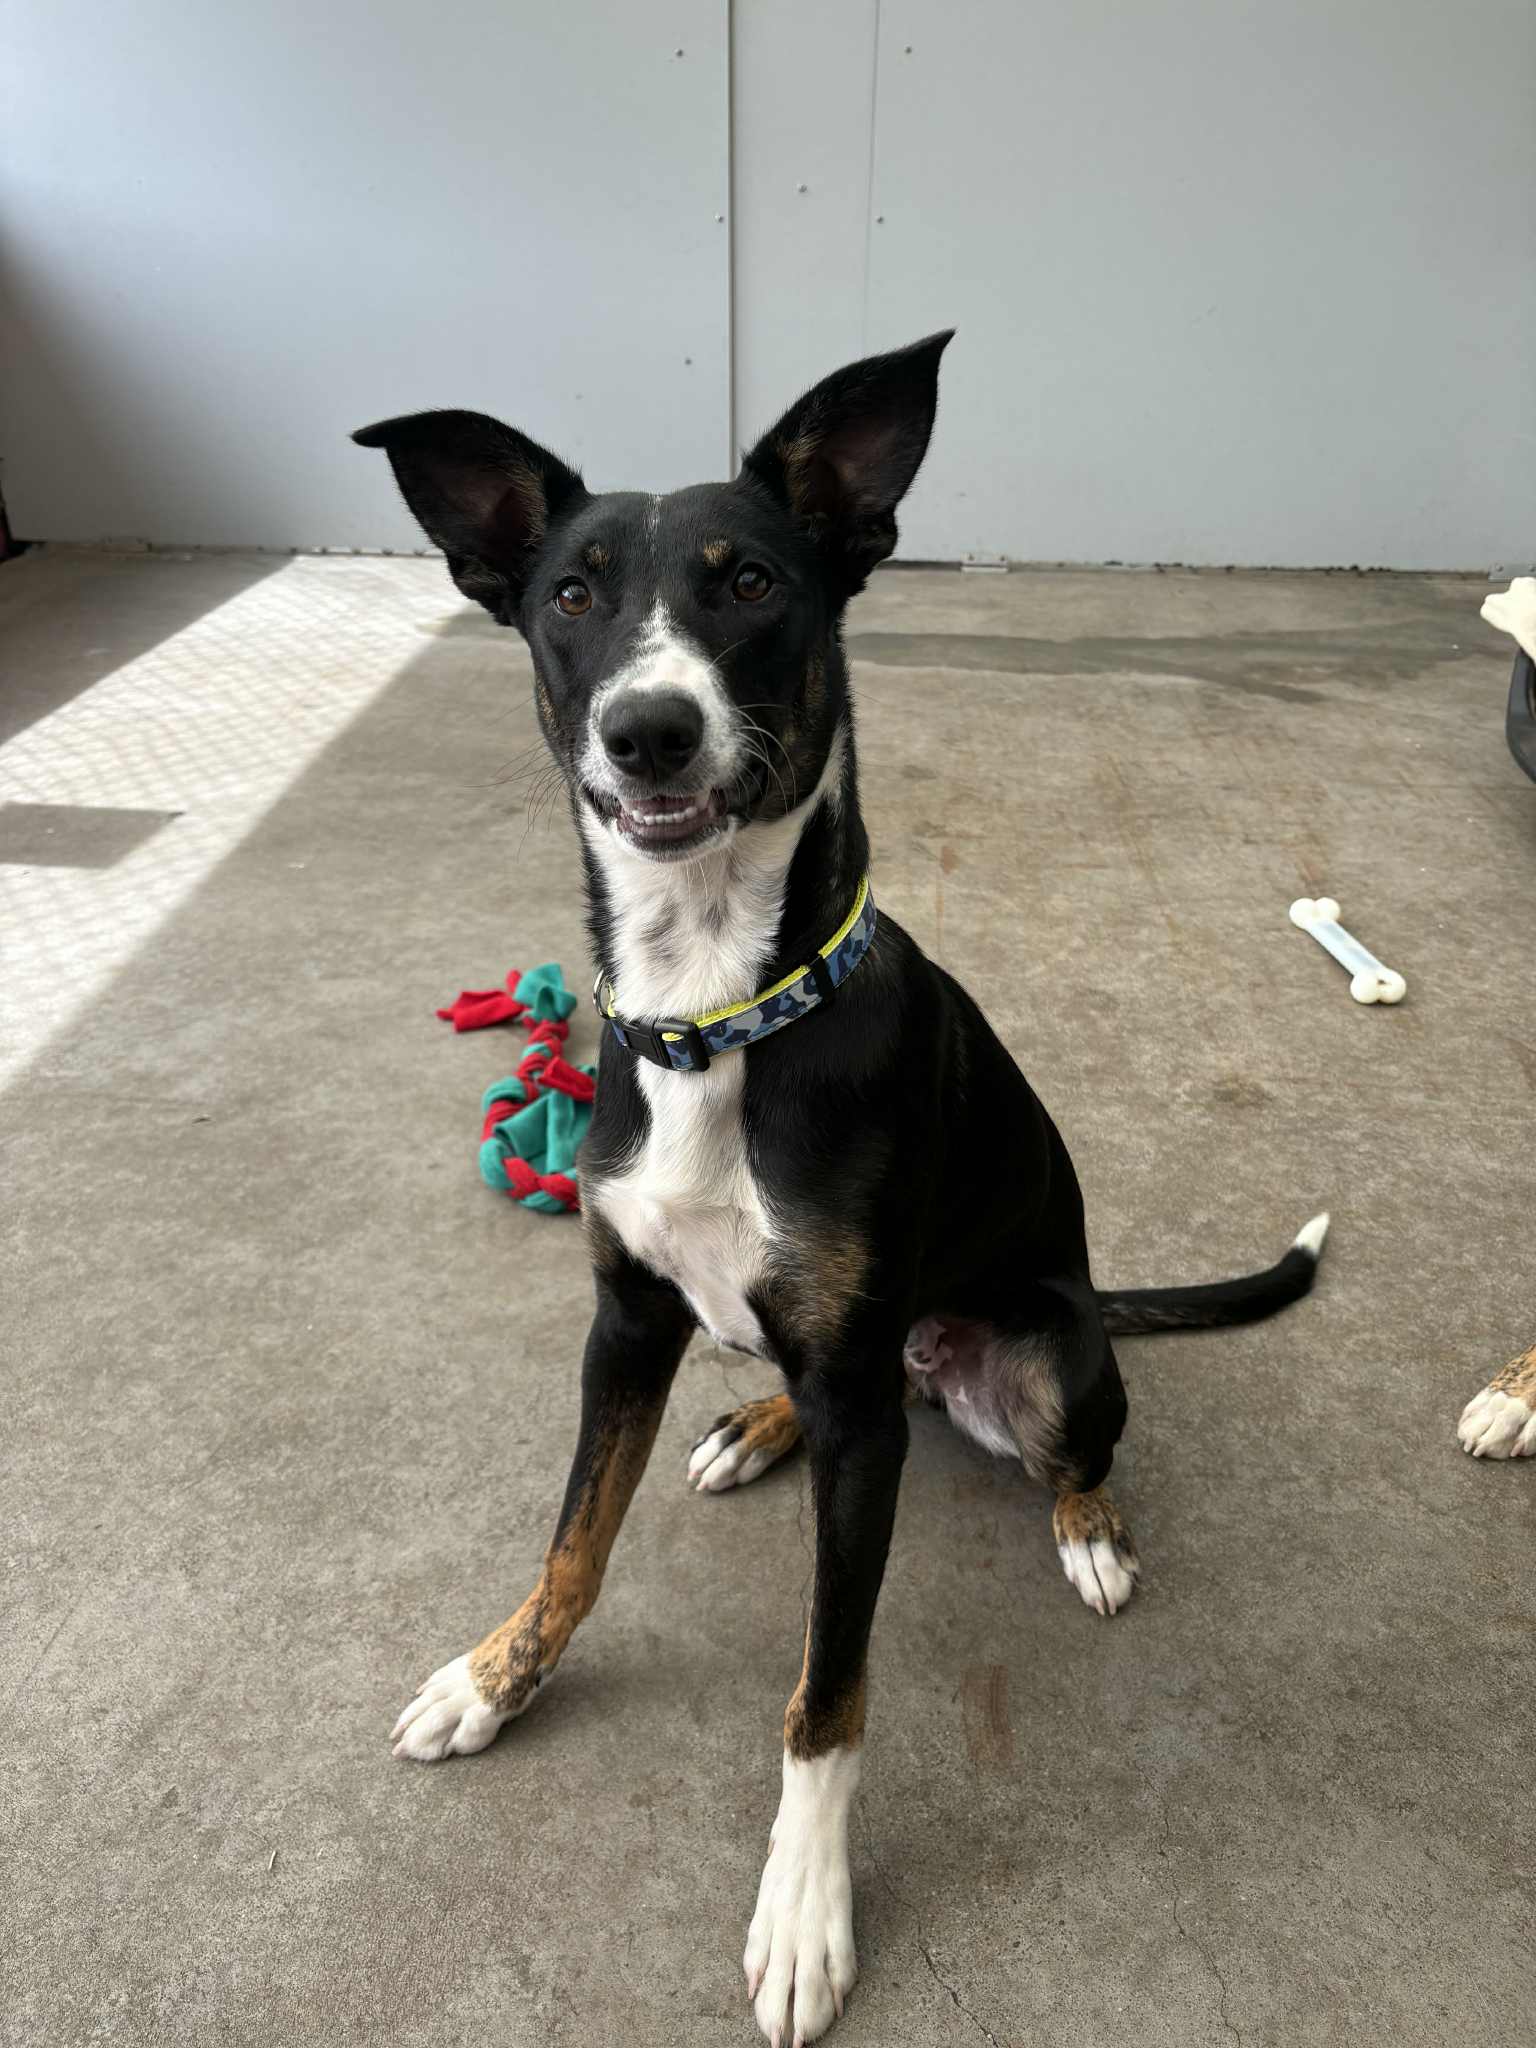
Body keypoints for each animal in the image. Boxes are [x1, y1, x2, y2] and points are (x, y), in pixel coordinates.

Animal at [355, 333, 1328, 2044]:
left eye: (750, 582)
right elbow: (573, 1541)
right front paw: (495, 1678)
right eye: (570, 594)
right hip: (842, 1356)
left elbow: (828, 1692)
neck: (723, 1004)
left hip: (1044, 1356)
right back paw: (754, 1423)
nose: (650, 731)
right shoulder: (625, 1321)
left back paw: (1087, 1528)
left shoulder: (857, 1420)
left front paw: (803, 1911)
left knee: (1072, 1439)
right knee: (822, 1383)